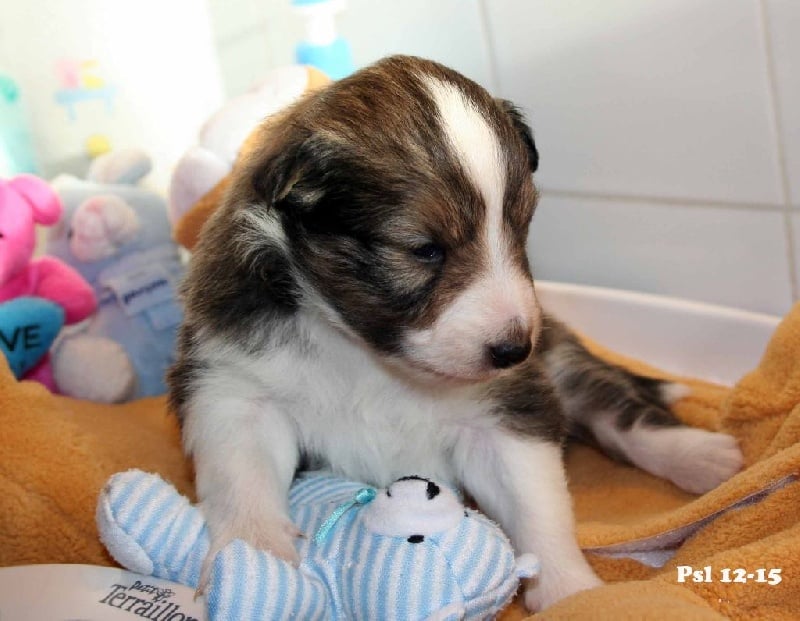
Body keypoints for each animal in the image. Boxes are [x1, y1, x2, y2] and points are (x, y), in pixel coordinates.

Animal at [170, 54, 744, 612]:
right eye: (424, 249)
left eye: (519, 228)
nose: (514, 349)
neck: (364, 353)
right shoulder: (235, 392)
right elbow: (242, 485)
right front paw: (256, 567)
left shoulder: (505, 411)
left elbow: (537, 506)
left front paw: (570, 591)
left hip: (560, 364)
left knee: (623, 412)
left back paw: (704, 458)